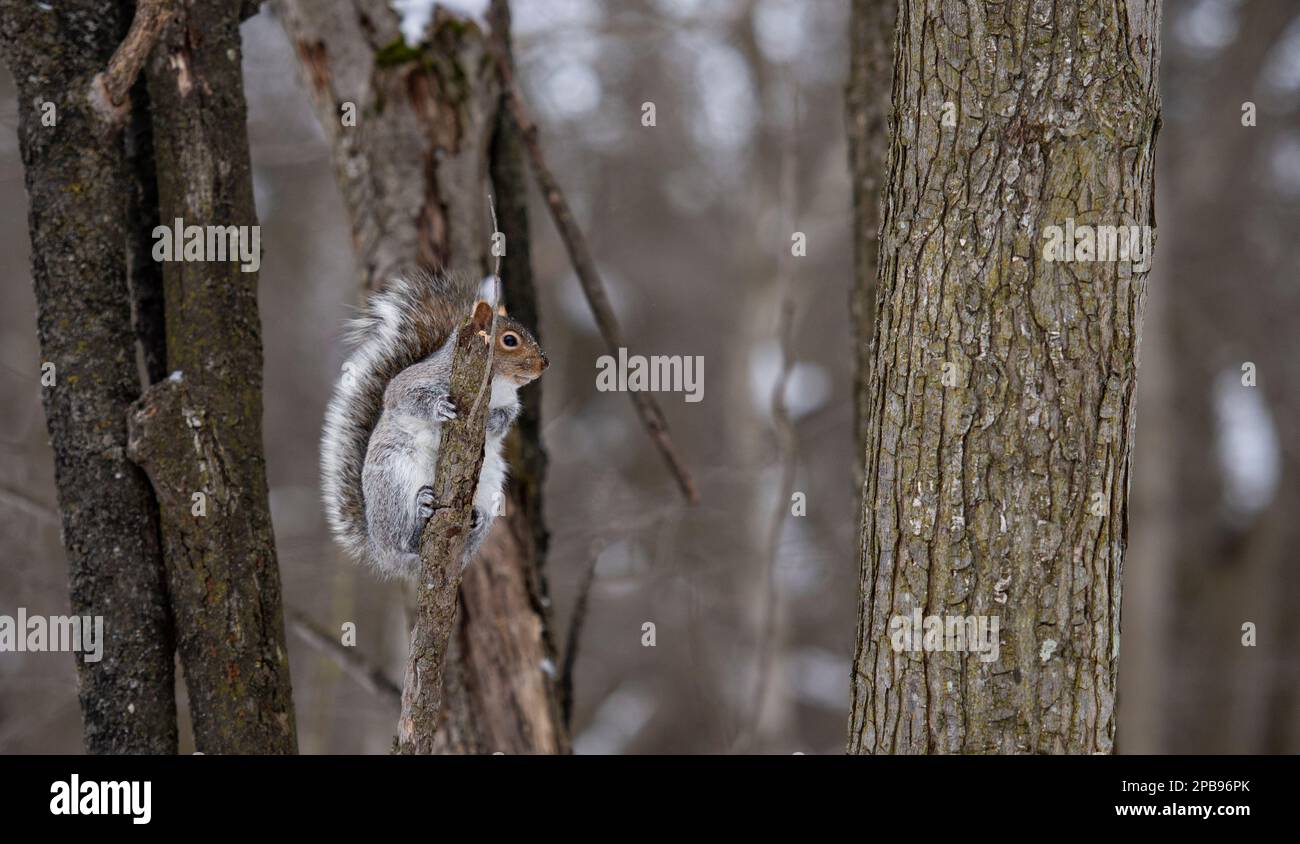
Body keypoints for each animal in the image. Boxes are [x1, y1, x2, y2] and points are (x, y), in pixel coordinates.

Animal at [320, 269, 548, 580]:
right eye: (510, 340)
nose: (544, 363)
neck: (498, 384)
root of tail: (380, 552)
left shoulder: (511, 403)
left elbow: (506, 419)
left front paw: (491, 420)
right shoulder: (411, 382)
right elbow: (403, 396)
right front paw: (439, 407)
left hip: (490, 488)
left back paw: (475, 519)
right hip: (394, 479)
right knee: (404, 539)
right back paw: (419, 510)